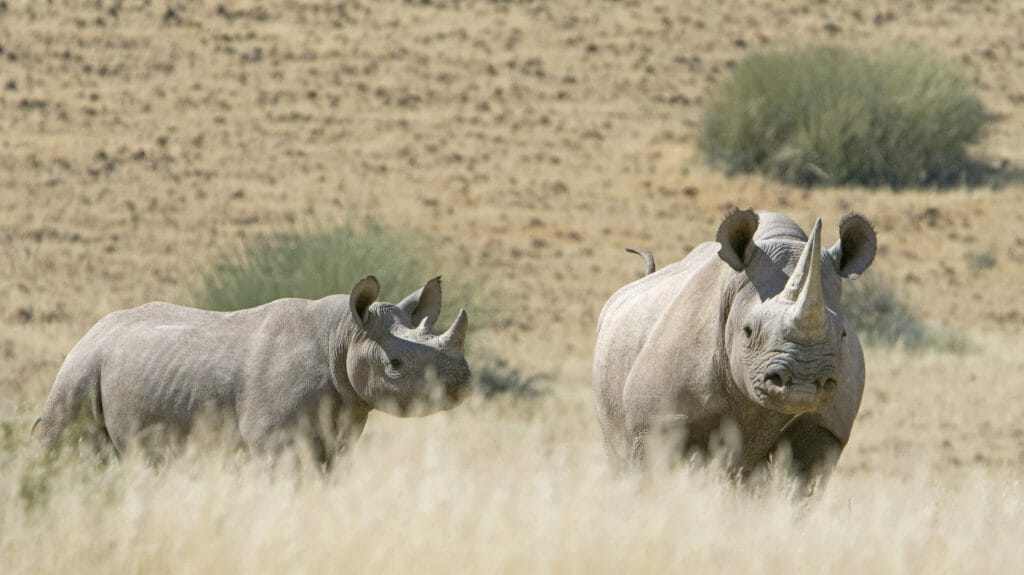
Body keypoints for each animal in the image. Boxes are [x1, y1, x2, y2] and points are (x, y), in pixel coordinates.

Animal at [35, 275, 472, 466]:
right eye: (394, 366)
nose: (461, 383)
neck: (344, 334)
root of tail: (89, 334)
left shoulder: (339, 437)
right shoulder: (275, 445)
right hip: (79, 370)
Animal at [593, 210, 876, 484]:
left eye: (842, 334)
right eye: (748, 331)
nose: (803, 385)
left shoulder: (826, 427)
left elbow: (799, 485)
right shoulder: (657, 421)